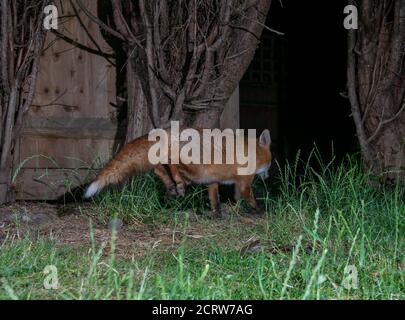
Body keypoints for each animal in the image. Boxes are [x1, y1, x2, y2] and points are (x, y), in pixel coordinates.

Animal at [84, 127, 272, 218]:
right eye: (270, 164)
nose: (268, 177)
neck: (253, 153)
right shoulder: (244, 183)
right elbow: (250, 198)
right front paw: (260, 211)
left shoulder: (212, 181)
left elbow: (214, 199)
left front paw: (217, 214)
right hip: (195, 170)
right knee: (170, 163)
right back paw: (178, 184)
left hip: (195, 173)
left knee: (158, 168)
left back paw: (171, 186)